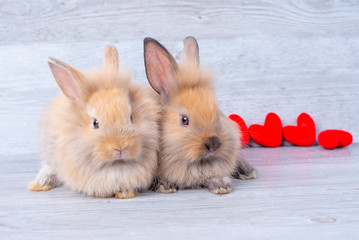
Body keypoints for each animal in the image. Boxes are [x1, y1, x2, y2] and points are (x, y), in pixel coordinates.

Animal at [28, 45, 161, 199]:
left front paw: (126, 193)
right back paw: (39, 184)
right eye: (95, 123)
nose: (120, 147)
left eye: (131, 117)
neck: (115, 165)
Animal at [145, 37, 258, 195]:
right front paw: (165, 186)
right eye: (184, 120)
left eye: (217, 112)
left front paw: (221, 185)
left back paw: (248, 171)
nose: (213, 143)